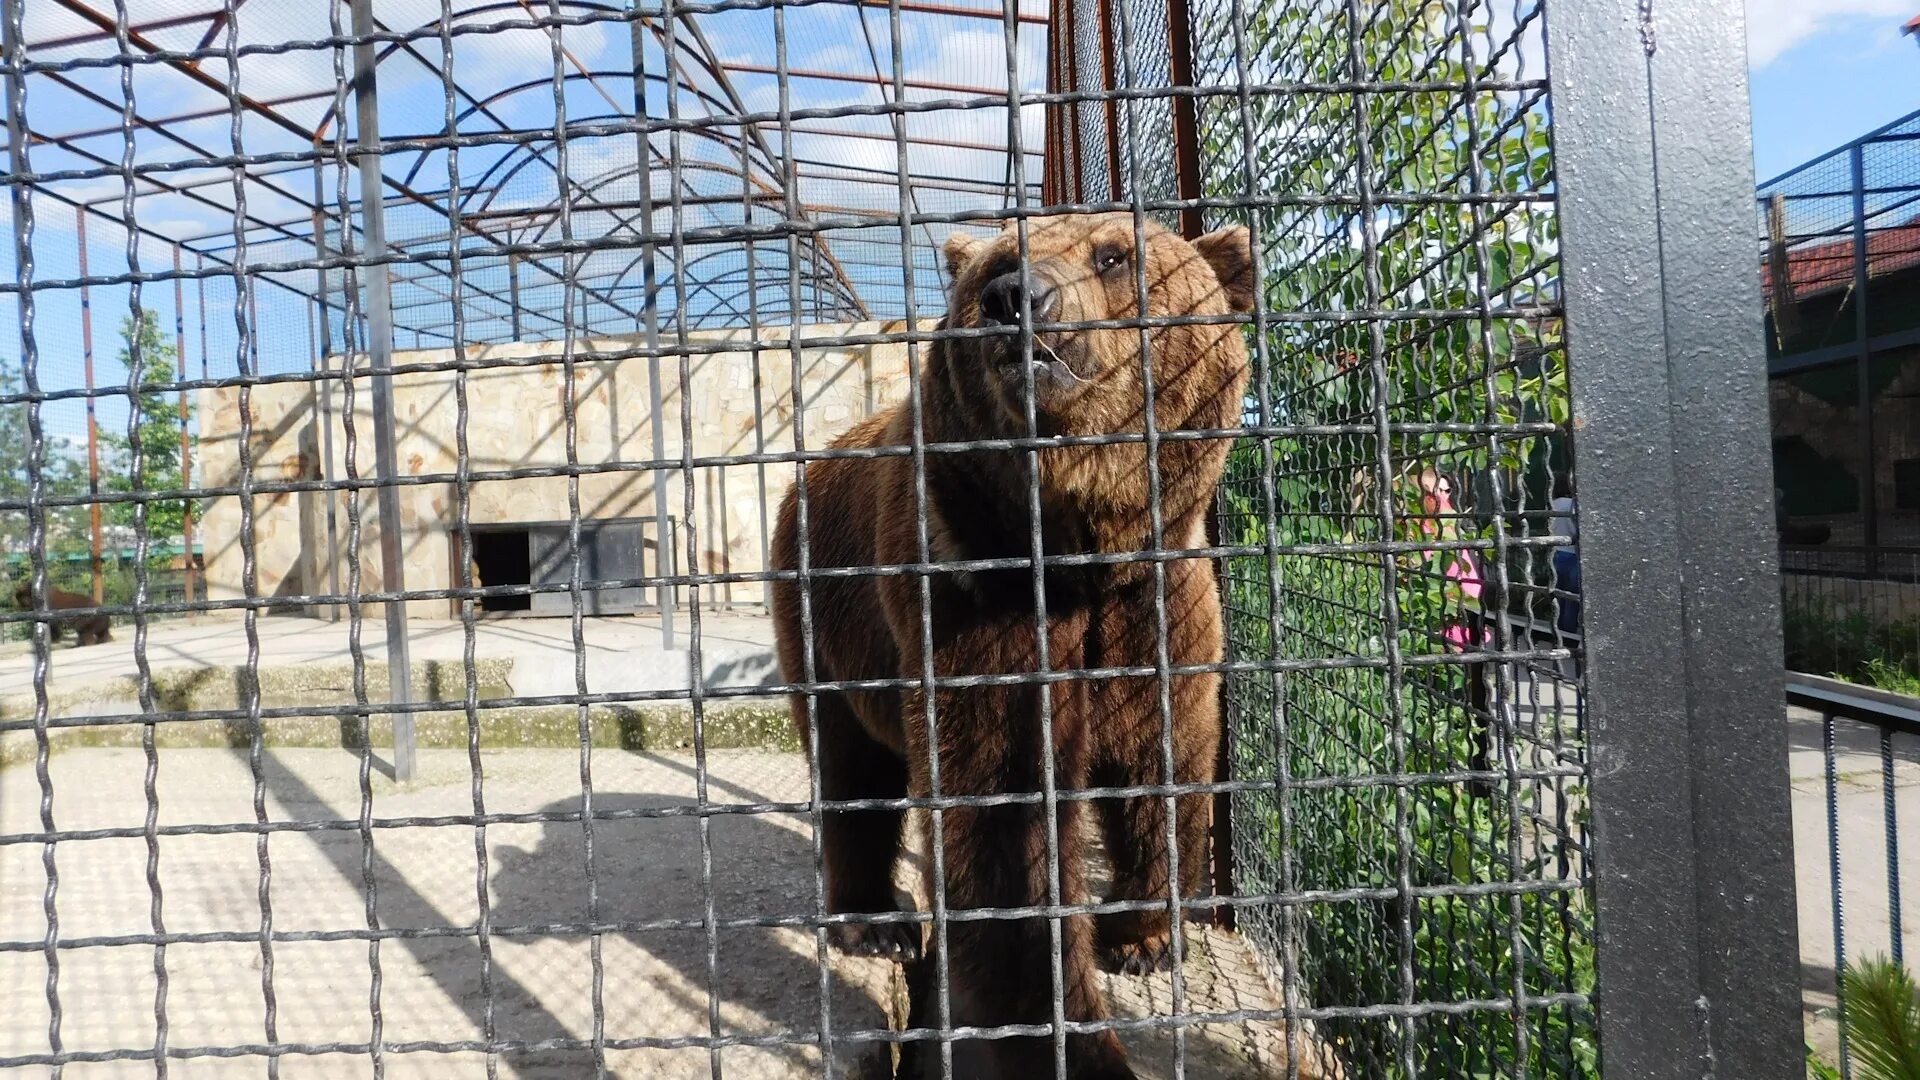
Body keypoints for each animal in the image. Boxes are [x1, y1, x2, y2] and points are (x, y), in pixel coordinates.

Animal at [771, 212, 1251, 1076]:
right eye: (998, 261)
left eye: (1114, 255)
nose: (1014, 298)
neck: (1080, 547)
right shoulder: (977, 591)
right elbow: (1005, 811)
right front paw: (1073, 1041)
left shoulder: (1158, 601)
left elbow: (1162, 760)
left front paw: (1146, 939)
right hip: (824, 611)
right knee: (850, 764)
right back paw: (876, 923)